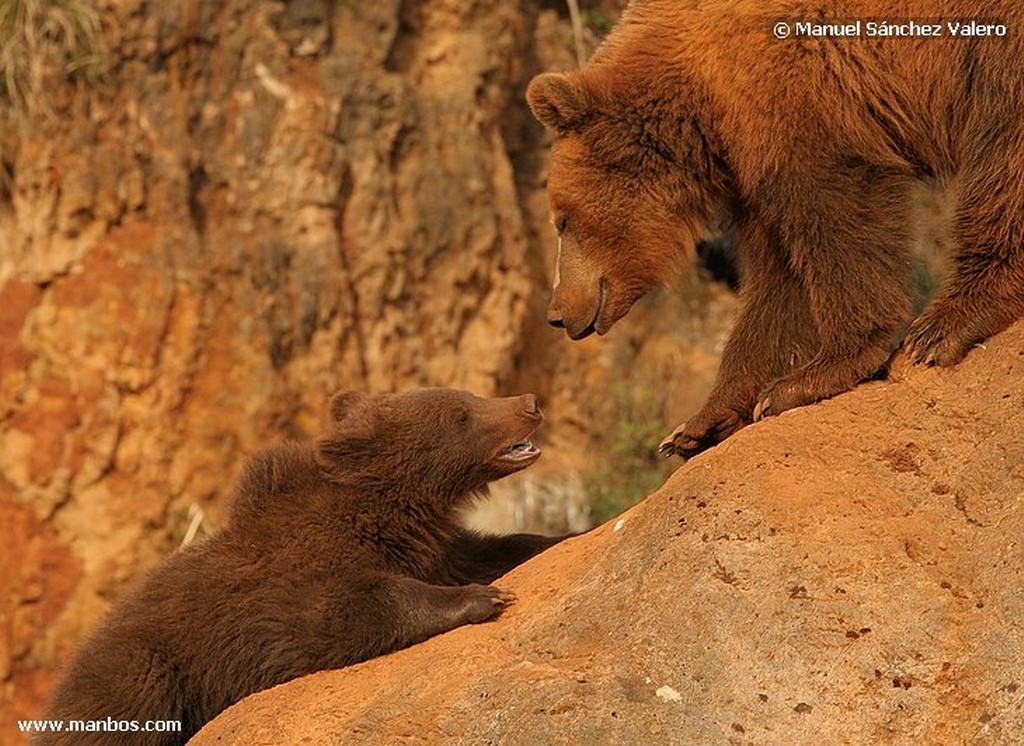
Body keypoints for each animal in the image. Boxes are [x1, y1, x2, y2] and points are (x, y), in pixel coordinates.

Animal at [39, 390, 569, 744]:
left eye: (468, 395)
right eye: (460, 414)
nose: (528, 402)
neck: (388, 513)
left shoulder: (429, 549)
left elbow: (486, 550)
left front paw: (559, 537)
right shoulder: (294, 579)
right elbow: (330, 617)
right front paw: (483, 596)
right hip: (138, 671)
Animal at [528, 0, 1024, 456]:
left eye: (563, 220)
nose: (557, 312)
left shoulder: (798, 95)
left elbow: (837, 216)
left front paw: (816, 372)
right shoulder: (752, 157)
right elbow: (777, 280)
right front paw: (696, 425)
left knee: (1003, 150)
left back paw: (946, 323)